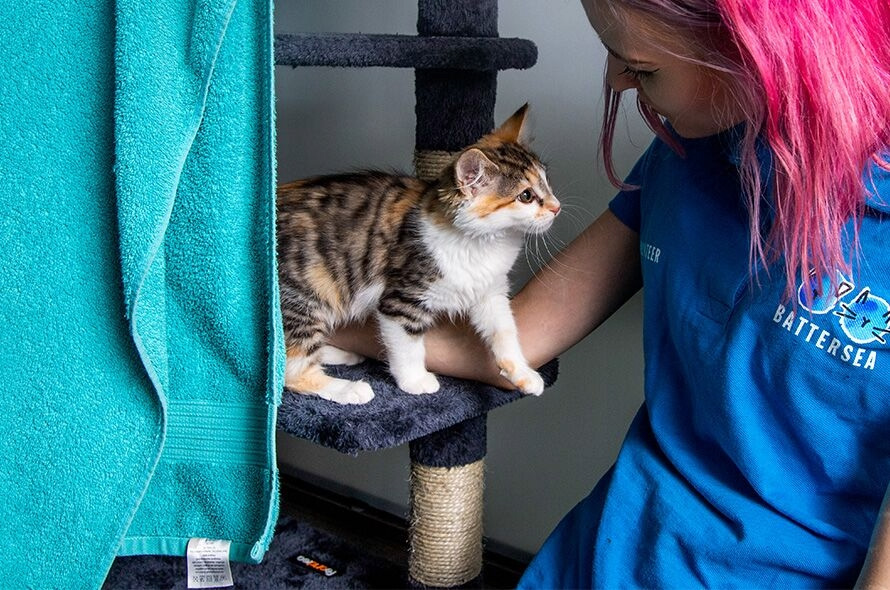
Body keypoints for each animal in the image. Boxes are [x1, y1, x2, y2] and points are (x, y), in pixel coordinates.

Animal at [274, 104, 560, 404]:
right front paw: (415, 381)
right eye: (526, 196)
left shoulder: (490, 293)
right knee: (291, 371)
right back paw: (349, 388)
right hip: (303, 300)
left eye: (547, 183)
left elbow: (505, 333)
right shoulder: (402, 299)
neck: (485, 243)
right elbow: (407, 347)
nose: (557, 207)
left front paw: (523, 374)